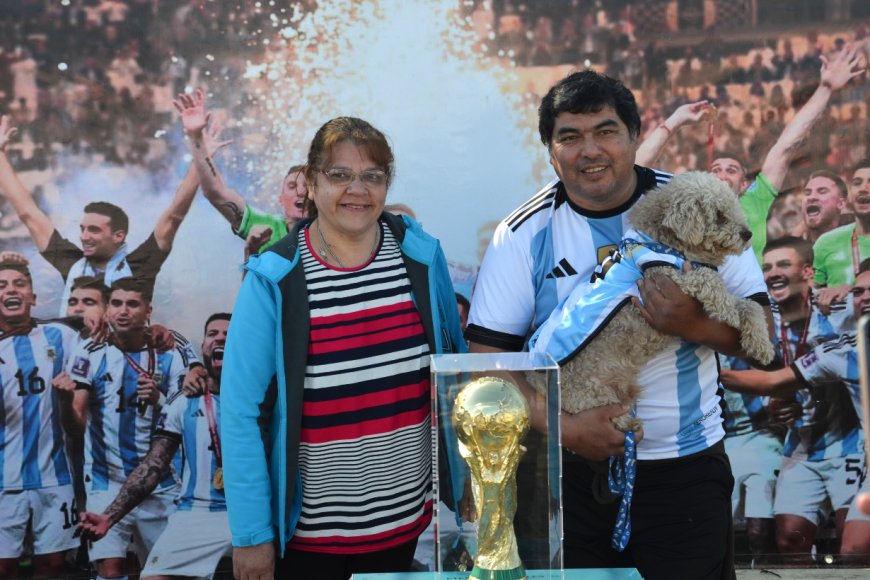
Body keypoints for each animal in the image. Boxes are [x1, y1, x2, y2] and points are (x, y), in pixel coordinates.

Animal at [532, 170, 776, 432]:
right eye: (720, 216)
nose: (748, 234)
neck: (668, 244)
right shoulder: (665, 277)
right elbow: (709, 278)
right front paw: (728, 312)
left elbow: (751, 305)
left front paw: (761, 345)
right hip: (589, 395)